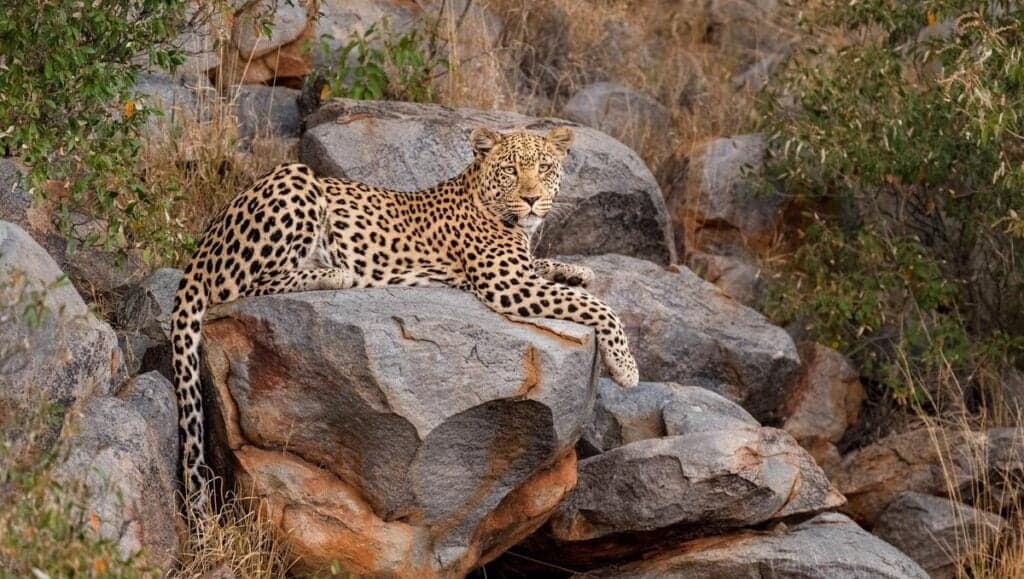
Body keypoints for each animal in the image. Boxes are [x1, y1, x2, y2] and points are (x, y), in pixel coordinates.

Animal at [174, 125, 638, 506]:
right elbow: (600, 307)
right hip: (295, 181)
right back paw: (336, 272)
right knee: (242, 287)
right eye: (510, 170)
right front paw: (626, 367)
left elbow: (554, 271)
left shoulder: (521, 270)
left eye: (544, 168)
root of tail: (205, 241)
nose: (531, 198)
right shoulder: (507, 284)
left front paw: (576, 270)